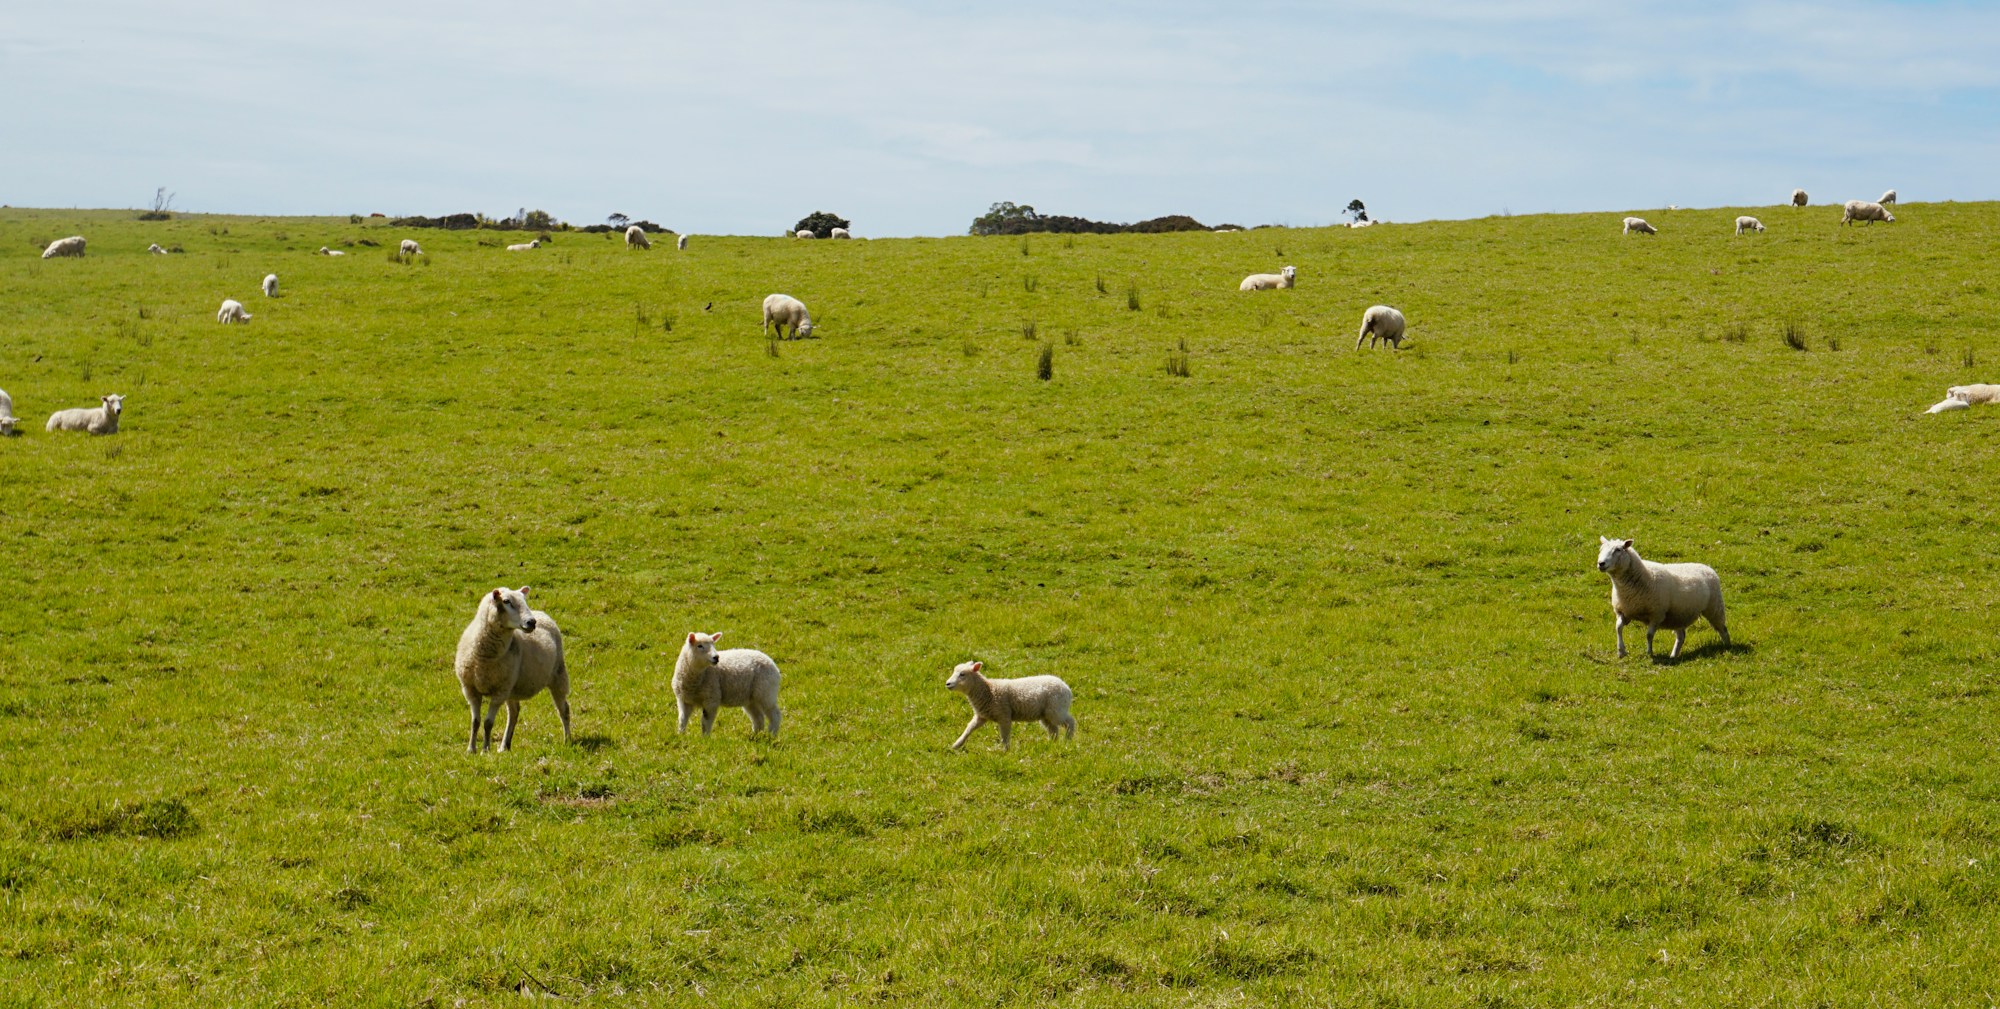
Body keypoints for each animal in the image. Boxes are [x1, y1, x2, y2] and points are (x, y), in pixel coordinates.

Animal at [454, 586, 570, 752]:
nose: (531, 622)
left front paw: (485, 750)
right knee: (514, 712)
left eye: (524, 600)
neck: (484, 658)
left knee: (564, 709)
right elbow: (475, 722)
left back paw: (568, 740)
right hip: (512, 687)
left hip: (558, 675)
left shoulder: (499, 692)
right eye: (506, 601)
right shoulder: (470, 689)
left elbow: (488, 723)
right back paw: (504, 746)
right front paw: (471, 750)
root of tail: (542, 614)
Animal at [944, 660, 1075, 751]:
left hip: (1056, 709)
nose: (948, 684)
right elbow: (969, 728)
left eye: (962, 674)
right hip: (1046, 714)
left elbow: (1005, 735)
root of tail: (1066, 688)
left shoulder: (1004, 715)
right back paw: (1052, 744)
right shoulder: (981, 716)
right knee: (1054, 730)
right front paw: (956, 744)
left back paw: (1068, 741)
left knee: (1070, 722)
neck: (988, 691)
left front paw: (1005, 751)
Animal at [1596, 537, 1729, 660]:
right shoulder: (1623, 611)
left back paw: (1728, 647)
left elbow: (1649, 635)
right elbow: (1618, 627)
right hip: (1678, 615)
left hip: (1714, 607)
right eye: (1601, 549)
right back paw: (1673, 656)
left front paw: (1649, 653)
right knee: (1681, 637)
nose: (1601, 563)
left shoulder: (1656, 614)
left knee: (1722, 629)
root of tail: (1707, 568)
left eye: (1618, 550)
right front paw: (1621, 651)